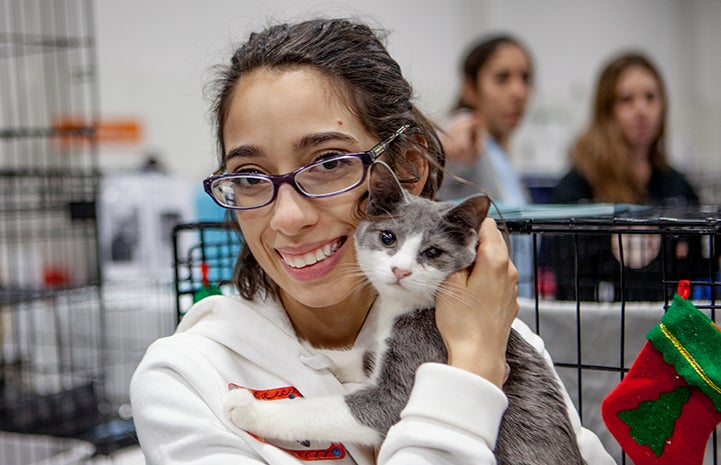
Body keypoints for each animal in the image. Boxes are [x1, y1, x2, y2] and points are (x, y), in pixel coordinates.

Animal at [225, 162, 584, 464]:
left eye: (433, 252)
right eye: (388, 237)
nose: (400, 269)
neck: (401, 310)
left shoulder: (422, 351)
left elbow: (336, 409)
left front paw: (249, 408)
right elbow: (365, 356)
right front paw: (311, 350)